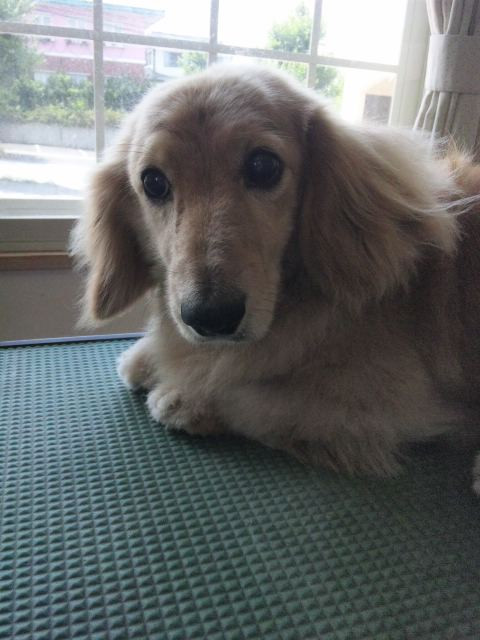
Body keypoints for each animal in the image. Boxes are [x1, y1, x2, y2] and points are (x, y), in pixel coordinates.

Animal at [72, 65, 480, 489]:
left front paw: (190, 396)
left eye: (263, 166)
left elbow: (259, 397)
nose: (210, 318)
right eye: (153, 182)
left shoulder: (398, 403)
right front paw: (148, 356)